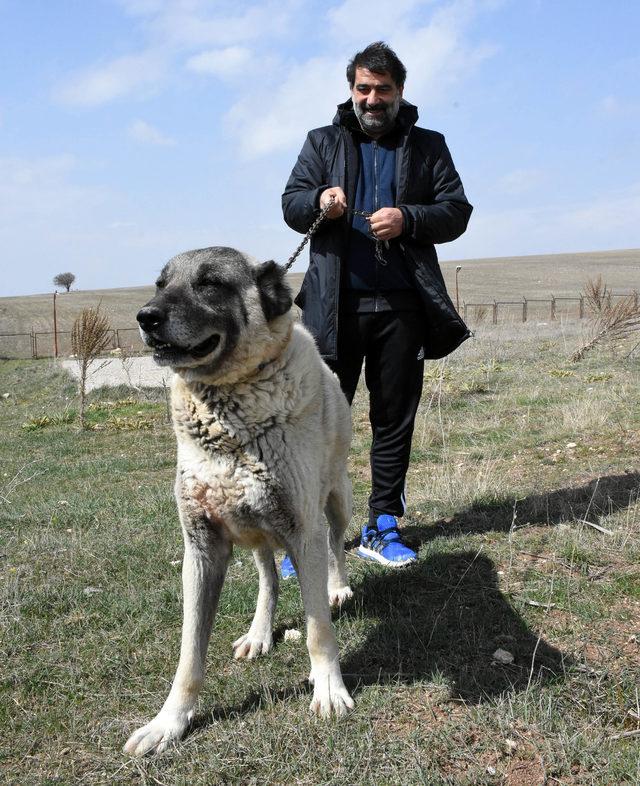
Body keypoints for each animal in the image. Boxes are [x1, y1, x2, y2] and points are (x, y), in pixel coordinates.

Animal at [124, 245, 356, 752]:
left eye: (211, 283)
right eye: (159, 284)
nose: (146, 316)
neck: (226, 415)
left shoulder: (304, 534)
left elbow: (317, 629)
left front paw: (328, 688)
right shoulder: (202, 548)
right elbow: (190, 653)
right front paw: (169, 721)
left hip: (336, 501)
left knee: (336, 543)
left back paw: (337, 587)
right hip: (255, 531)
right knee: (268, 577)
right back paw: (259, 631)